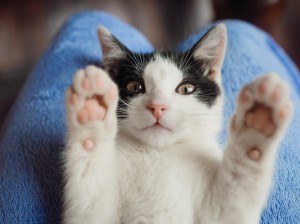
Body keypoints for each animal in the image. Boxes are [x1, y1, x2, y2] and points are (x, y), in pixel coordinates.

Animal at [62, 23, 292, 223]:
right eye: (135, 87)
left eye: (186, 89)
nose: (157, 106)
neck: (157, 152)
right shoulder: (94, 214)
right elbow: (89, 206)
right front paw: (92, 110)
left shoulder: (221, 215)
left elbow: (231, 203)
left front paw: (257, 123)